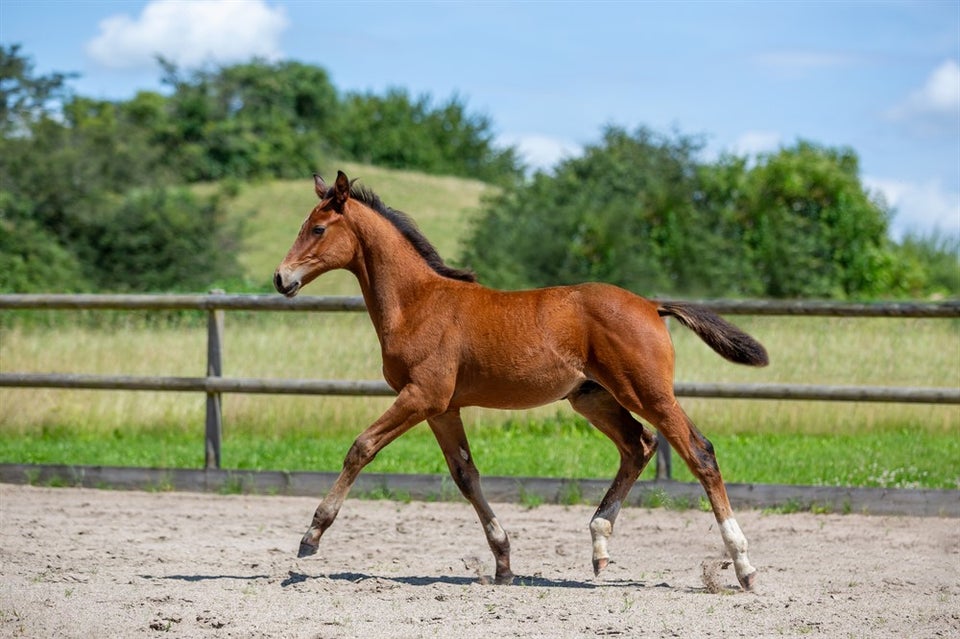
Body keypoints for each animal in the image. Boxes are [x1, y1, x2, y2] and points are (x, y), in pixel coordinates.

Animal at [274, 170, 768, 592]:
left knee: (699, 452)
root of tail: (651, 305)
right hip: (592, 398)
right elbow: (465, 475)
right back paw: (599, 544)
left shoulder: (422, 397)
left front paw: (311, 534)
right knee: (638, 445)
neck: (417, 303)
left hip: (647, 392)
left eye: (318, 229)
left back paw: (743, 566)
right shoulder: (443, 408)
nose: (281, 278)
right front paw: (504, 561)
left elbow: (361, 447)